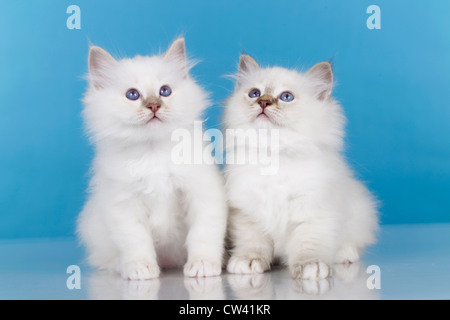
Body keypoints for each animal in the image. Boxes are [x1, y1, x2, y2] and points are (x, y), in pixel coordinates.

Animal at [76, 38, 229, 280]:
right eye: (132, 95)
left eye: (164, 91)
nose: (154, 105)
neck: (153, 151)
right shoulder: (123, 204)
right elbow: (136, 241)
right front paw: (141, 268)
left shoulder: (203, 193)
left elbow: (203, 234)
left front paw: (203, 265)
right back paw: (123, 265)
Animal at [224, 55, 376, 280]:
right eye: (254, 93)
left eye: (286, 97)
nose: (263, 102)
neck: (274, 155)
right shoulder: (248, 214)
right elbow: (253, 243)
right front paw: (248, 261)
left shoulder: (313, 212)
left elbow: (308, 245)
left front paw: (310, 266)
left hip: (359, 213)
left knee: (352, 241)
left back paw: (344, 254)